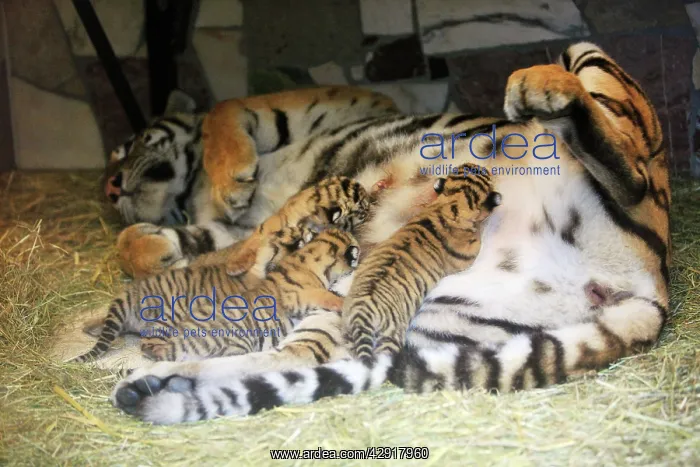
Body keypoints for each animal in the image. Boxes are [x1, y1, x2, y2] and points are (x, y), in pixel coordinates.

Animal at [106, 86, 397, 279]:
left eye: (126, 148)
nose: (111, 188)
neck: (194, 186)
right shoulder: (246, 226)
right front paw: (152, 245)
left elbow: (220, 110)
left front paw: (231, 184)